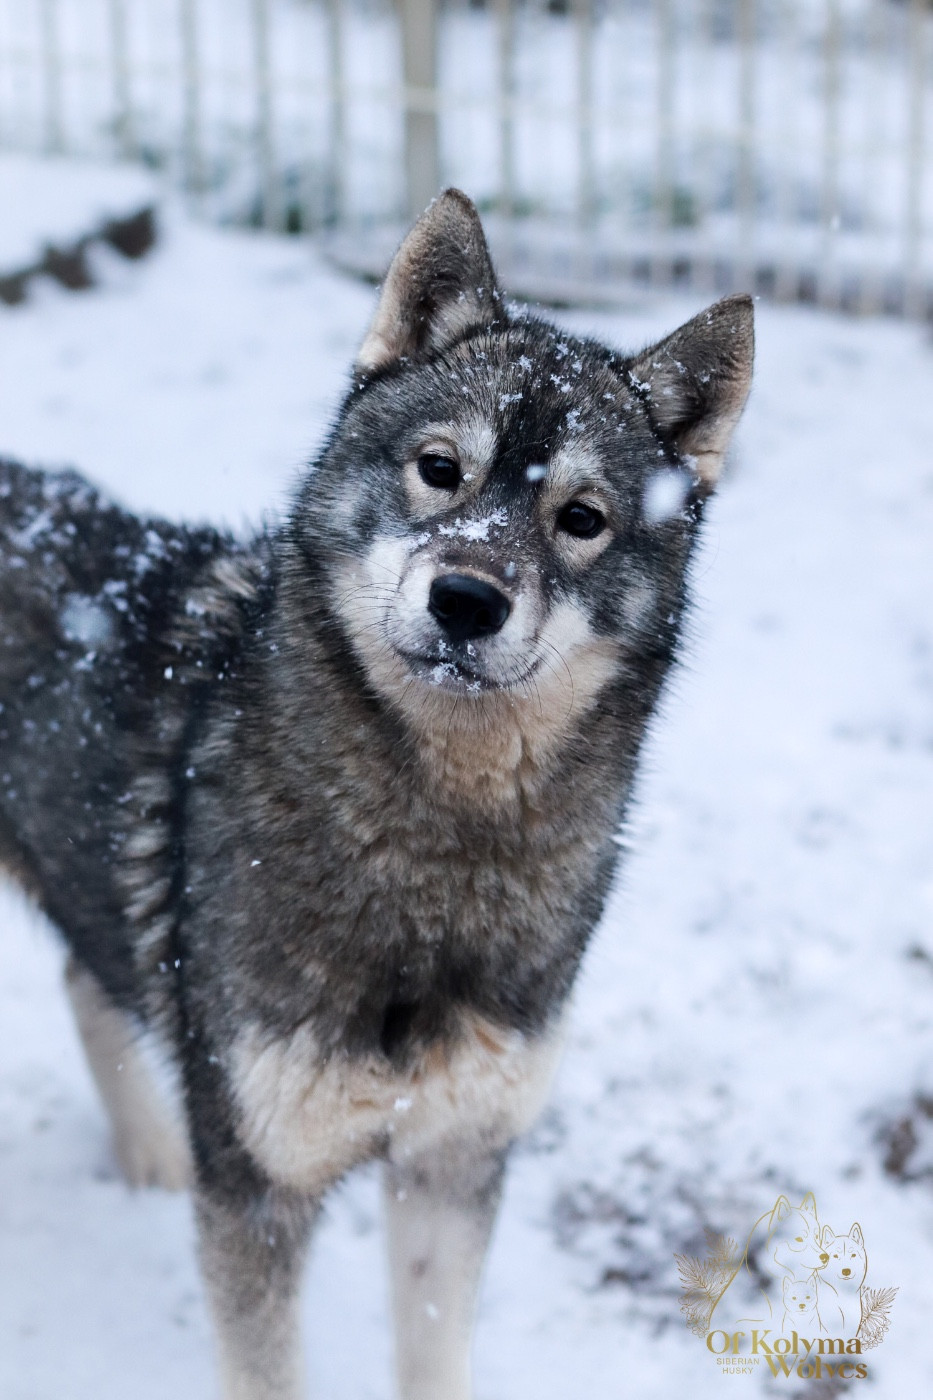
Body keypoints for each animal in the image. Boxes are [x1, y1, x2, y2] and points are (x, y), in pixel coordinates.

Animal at [0, 189, 753, 1399]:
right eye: (439, 467)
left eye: (582, 518)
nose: (466, 599)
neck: (438, 846)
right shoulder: (259, 1194)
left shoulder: (454, 1163)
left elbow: (434, 1352)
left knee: (86, 966)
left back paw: (153, 1153)